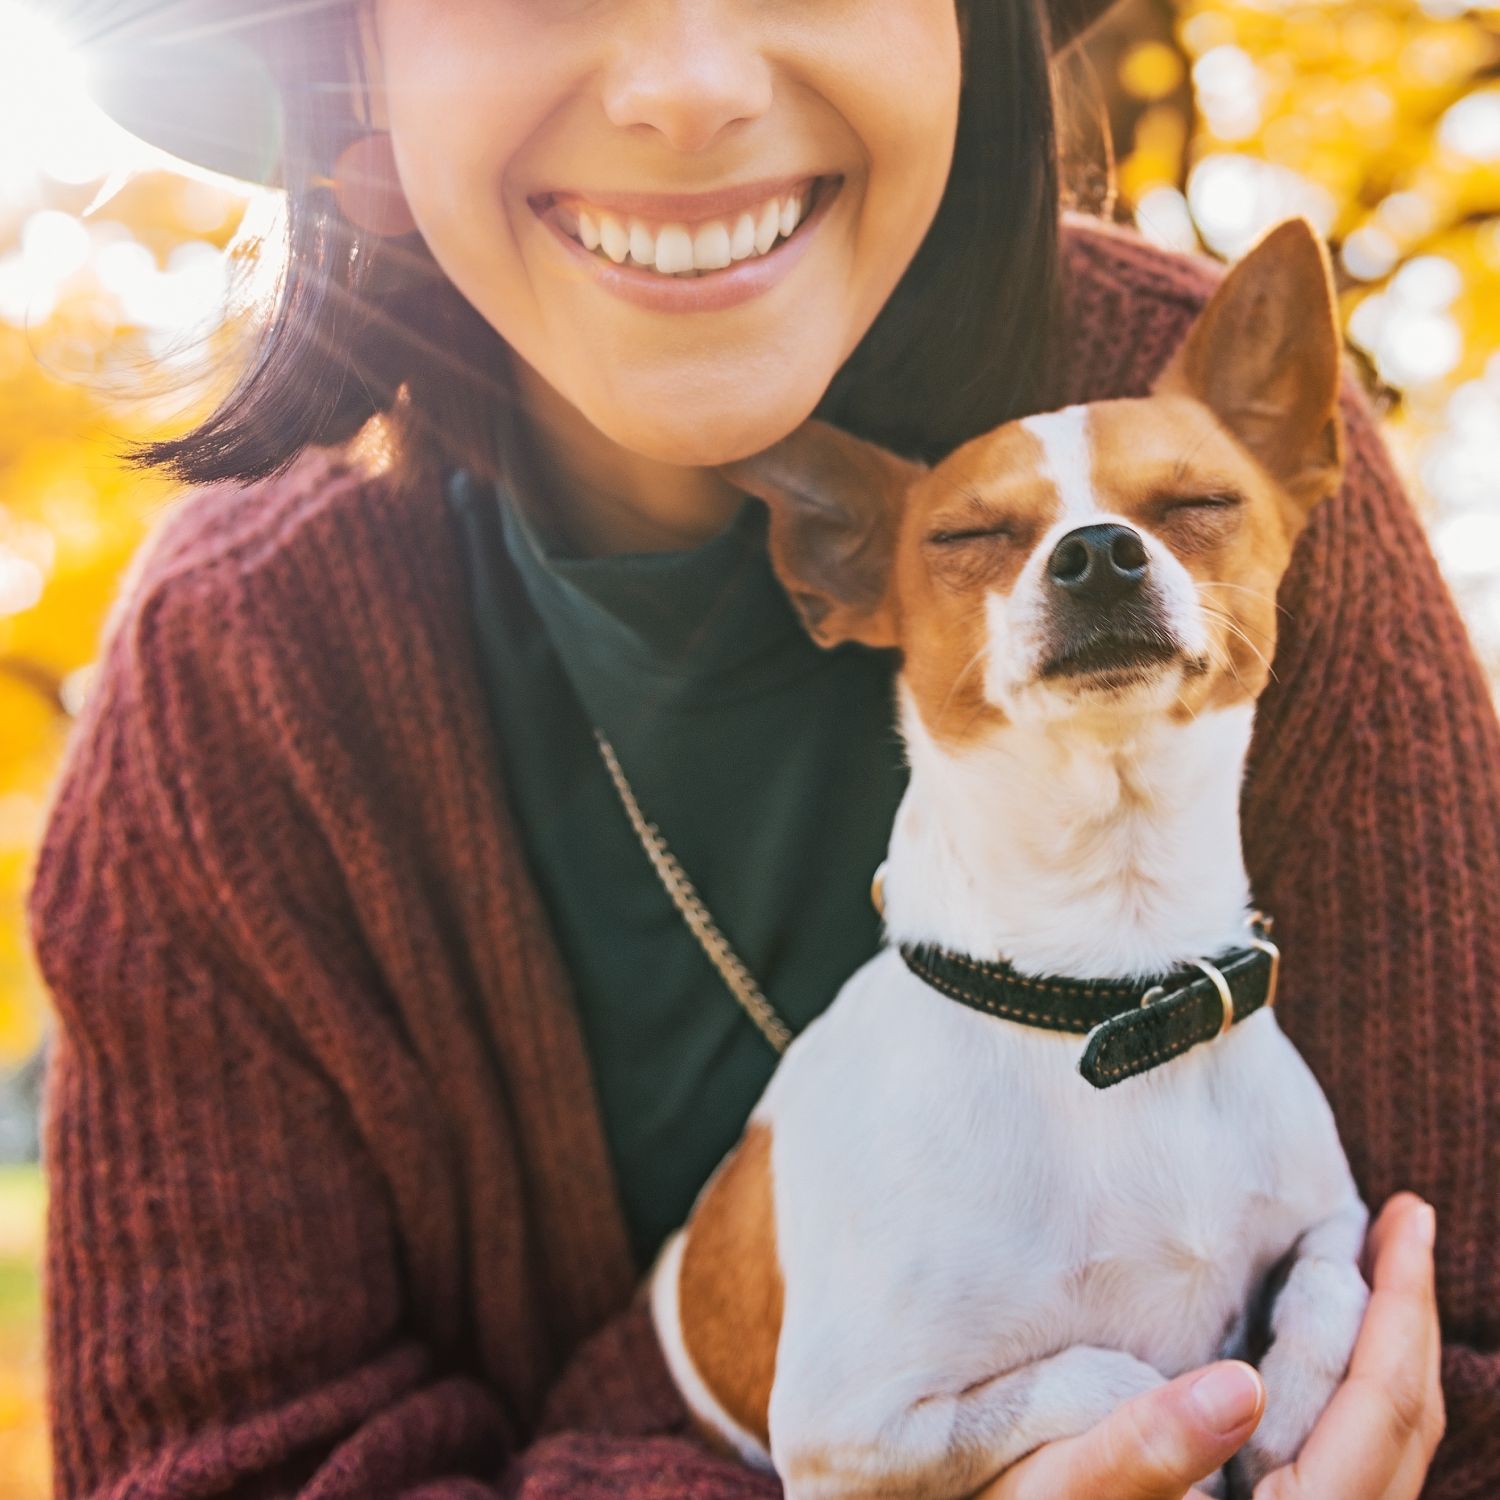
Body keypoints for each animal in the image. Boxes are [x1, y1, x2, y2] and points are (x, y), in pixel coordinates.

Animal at [645, 219, 1374, 1500]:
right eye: (969, 536)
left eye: (1199, 500)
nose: (1099, 552)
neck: (1114, 991)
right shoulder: (851, 1434)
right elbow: (1113, 1380)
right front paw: (1201, 1447)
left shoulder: (1334, 1214)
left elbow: (1335, 1277)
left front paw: (1288, 1403)